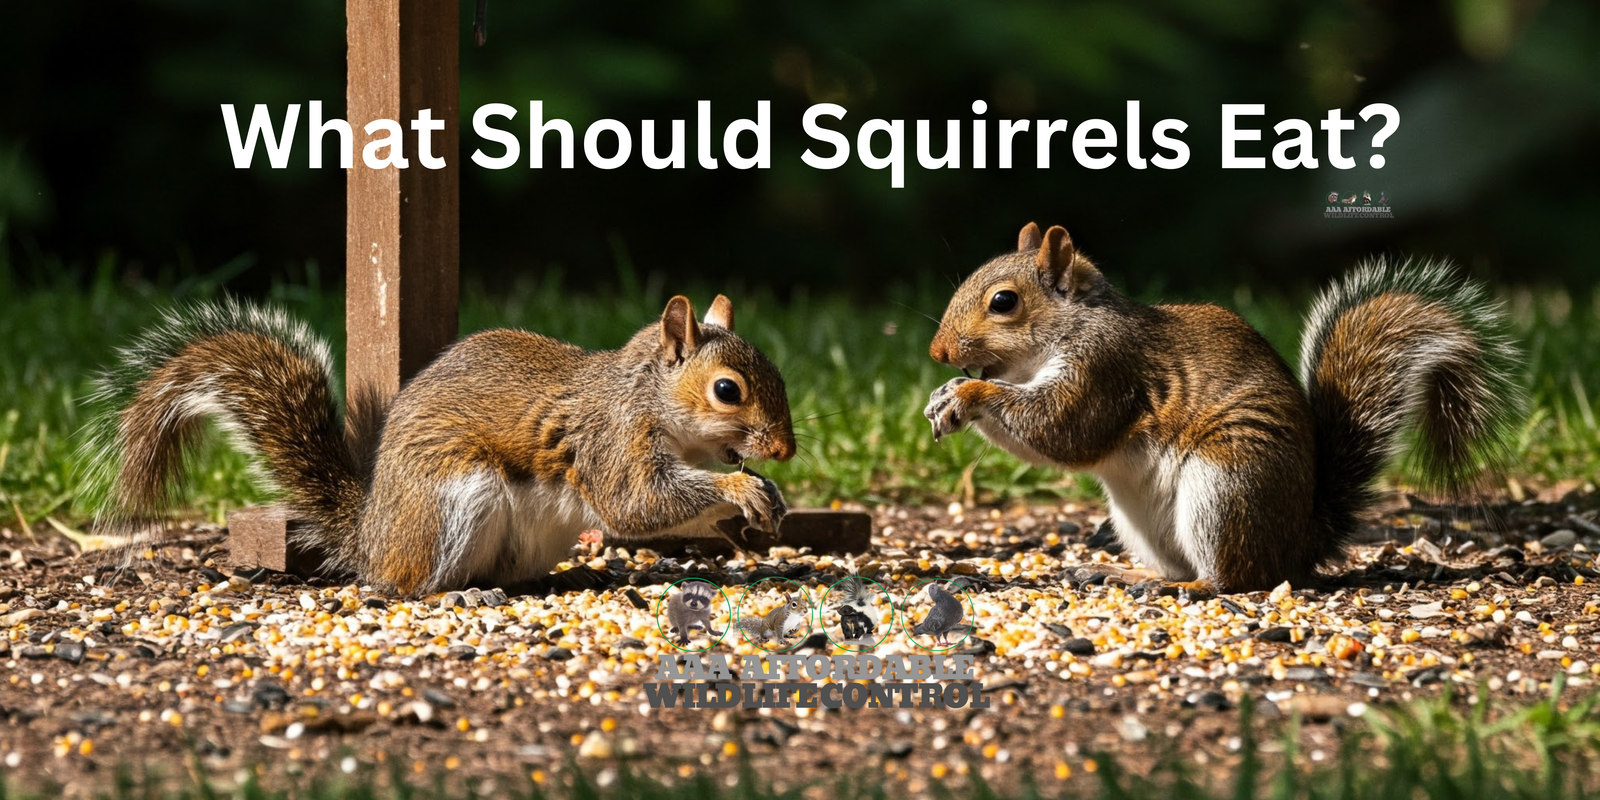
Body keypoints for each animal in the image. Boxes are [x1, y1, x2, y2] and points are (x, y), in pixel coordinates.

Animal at [84, 294, 796, 596]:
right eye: (727, 390)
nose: (785, 450)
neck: (651, 401)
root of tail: (370, 536)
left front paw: (757, 506)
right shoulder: (610, 443)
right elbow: (638, 504)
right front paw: (740, 489)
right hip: (455, 500)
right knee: (410, 583)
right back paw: (450, 590)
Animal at [924, 222, 1522, 594]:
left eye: (1004, 302)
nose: (938, 353)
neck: (1073, 326)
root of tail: (1300, 545)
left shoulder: (1105, 370)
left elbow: (1063, 430)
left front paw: (966, 396)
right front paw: (942, 395)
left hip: (1227, 484)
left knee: (1236, 578)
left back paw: (1191, 587)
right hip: (1143, 520)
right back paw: (1134, 577)